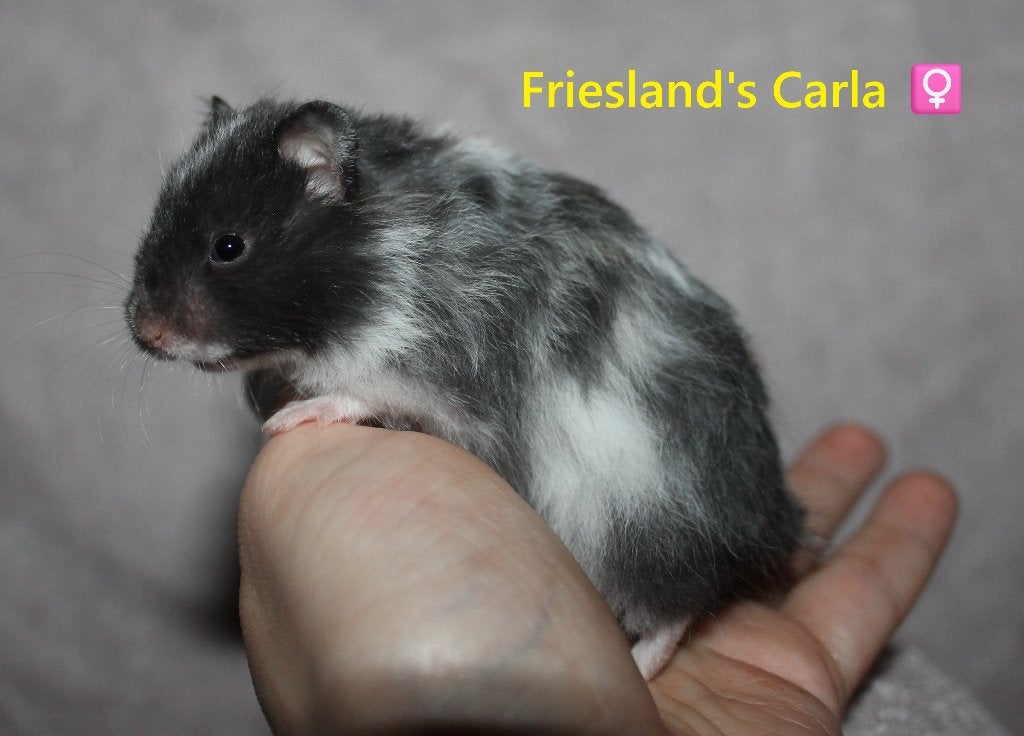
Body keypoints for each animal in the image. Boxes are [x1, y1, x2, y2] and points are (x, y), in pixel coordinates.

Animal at [124, 97, 803, 680]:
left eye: (228, 246)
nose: (142, 330)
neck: (375, 258)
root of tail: (774, 522)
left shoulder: (432, 365)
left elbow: (365, 393)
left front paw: (291, 417)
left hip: (640, 524)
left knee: (680, 604)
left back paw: (642, 665)